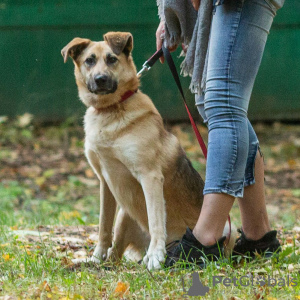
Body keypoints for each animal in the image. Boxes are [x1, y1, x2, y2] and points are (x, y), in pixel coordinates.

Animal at [61, 32, 234, 270]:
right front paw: (97, 256)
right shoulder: (105, 182)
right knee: (115, 254)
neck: (111, 110)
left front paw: (155, 256)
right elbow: (104, 226)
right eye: (89, 60)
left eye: (112, 59)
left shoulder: (149, 176)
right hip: (124, 215)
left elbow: (155, 221)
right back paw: (97, 263)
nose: (100, 79)